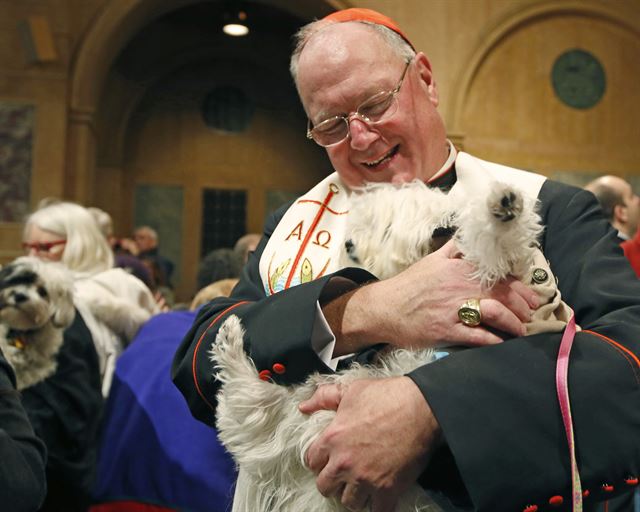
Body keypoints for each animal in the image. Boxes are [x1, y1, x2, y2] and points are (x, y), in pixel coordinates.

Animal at [209, 178, 568, 510]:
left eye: (383, 230)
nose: (348, 243)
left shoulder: (507, 270)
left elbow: (497, 242)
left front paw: (503, 206)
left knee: (246, 412)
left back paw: (229, 347)